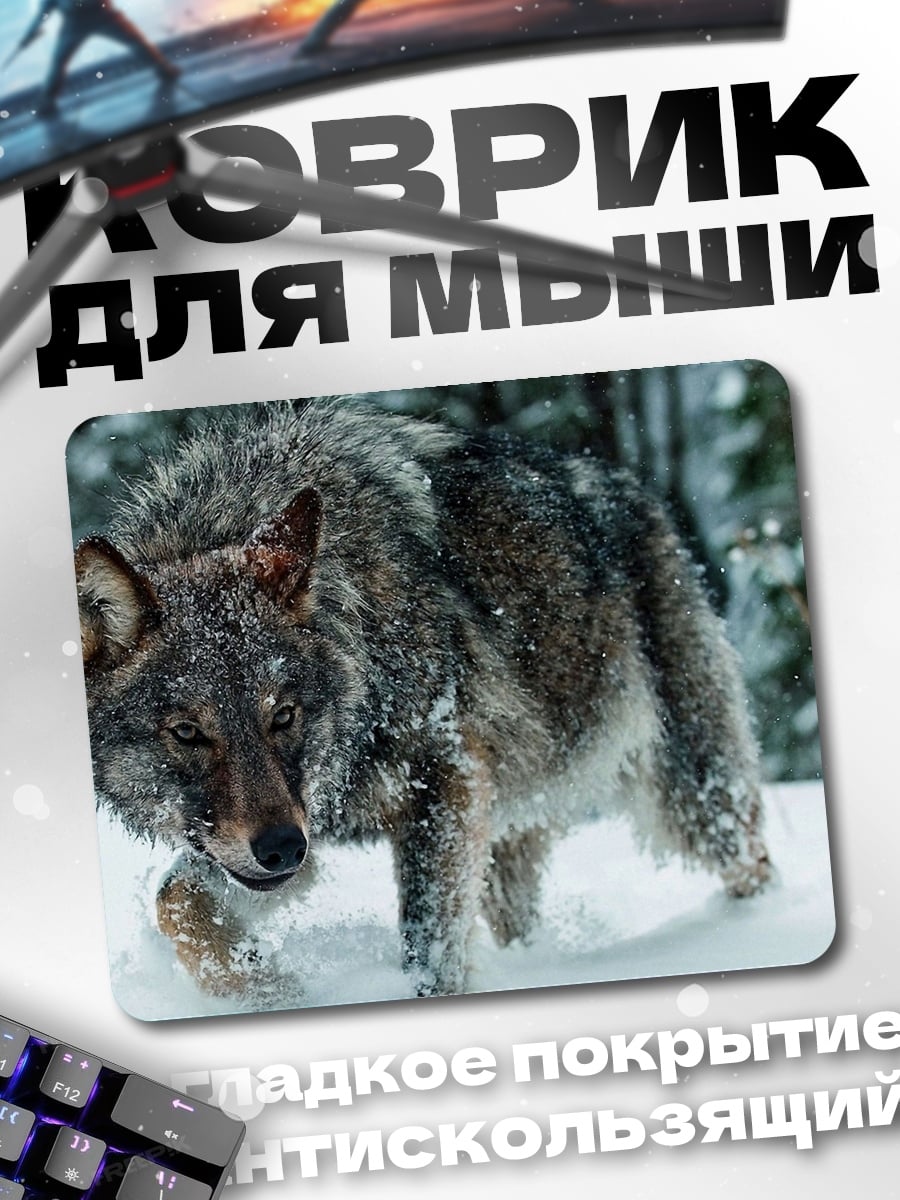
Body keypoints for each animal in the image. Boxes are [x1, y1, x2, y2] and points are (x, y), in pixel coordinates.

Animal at [74, 395, 771, 1000]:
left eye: (284, 715)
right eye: (187, 732)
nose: (280, 849)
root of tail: (635, 488)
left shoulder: (442, 780)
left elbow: (429, 952)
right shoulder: (300, 828)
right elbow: (175, 903)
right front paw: (267, 991)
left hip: (692, 797)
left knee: (751, 861)